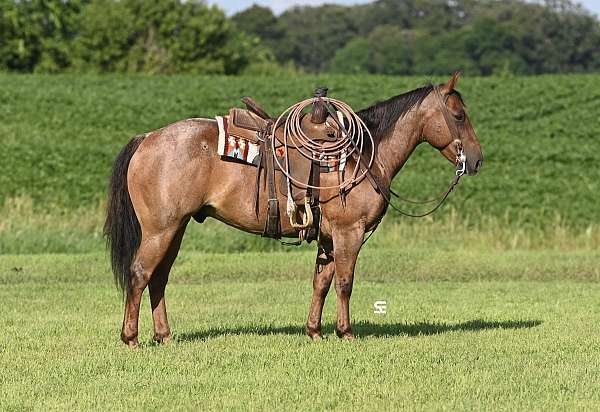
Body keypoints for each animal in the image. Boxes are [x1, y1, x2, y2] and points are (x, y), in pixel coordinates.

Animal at [104, 72, 482, 346]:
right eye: (459, 115)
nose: (477, 160)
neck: (361, 157)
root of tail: (148, 138)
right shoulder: (349, 232)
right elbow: (345, 282)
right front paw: (345, 333)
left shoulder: (329, 238)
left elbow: (321, 282)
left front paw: (314, 331)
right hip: (160, 230)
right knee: (140, 274)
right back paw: (131, 338)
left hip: (176, 229)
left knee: (159, 278)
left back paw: (164, 336)